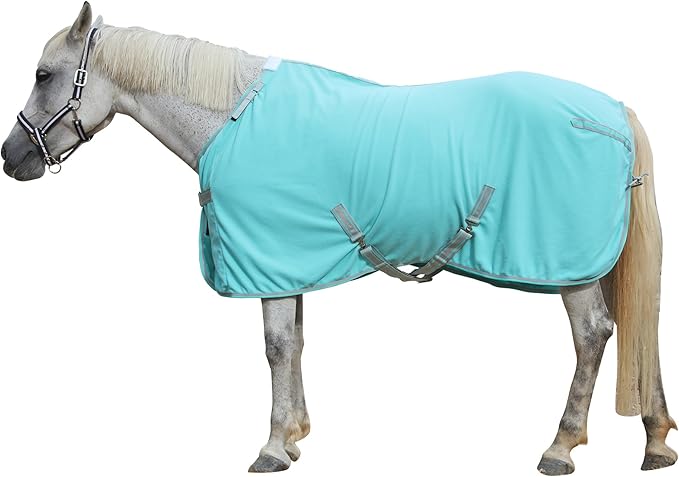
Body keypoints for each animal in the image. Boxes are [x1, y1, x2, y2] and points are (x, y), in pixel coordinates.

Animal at [1, 3, 675, 474]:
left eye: (43, 74)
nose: (12, 158)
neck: (232, 118)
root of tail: (613, 112)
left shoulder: (269, 259)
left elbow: (276, 348)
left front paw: (273, 447)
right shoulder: (287, 263)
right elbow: (296, 344)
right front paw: (296, 437)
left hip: (571, 267)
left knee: (593, 336)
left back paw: (560, 447)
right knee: (636, 329)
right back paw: (656, 440)